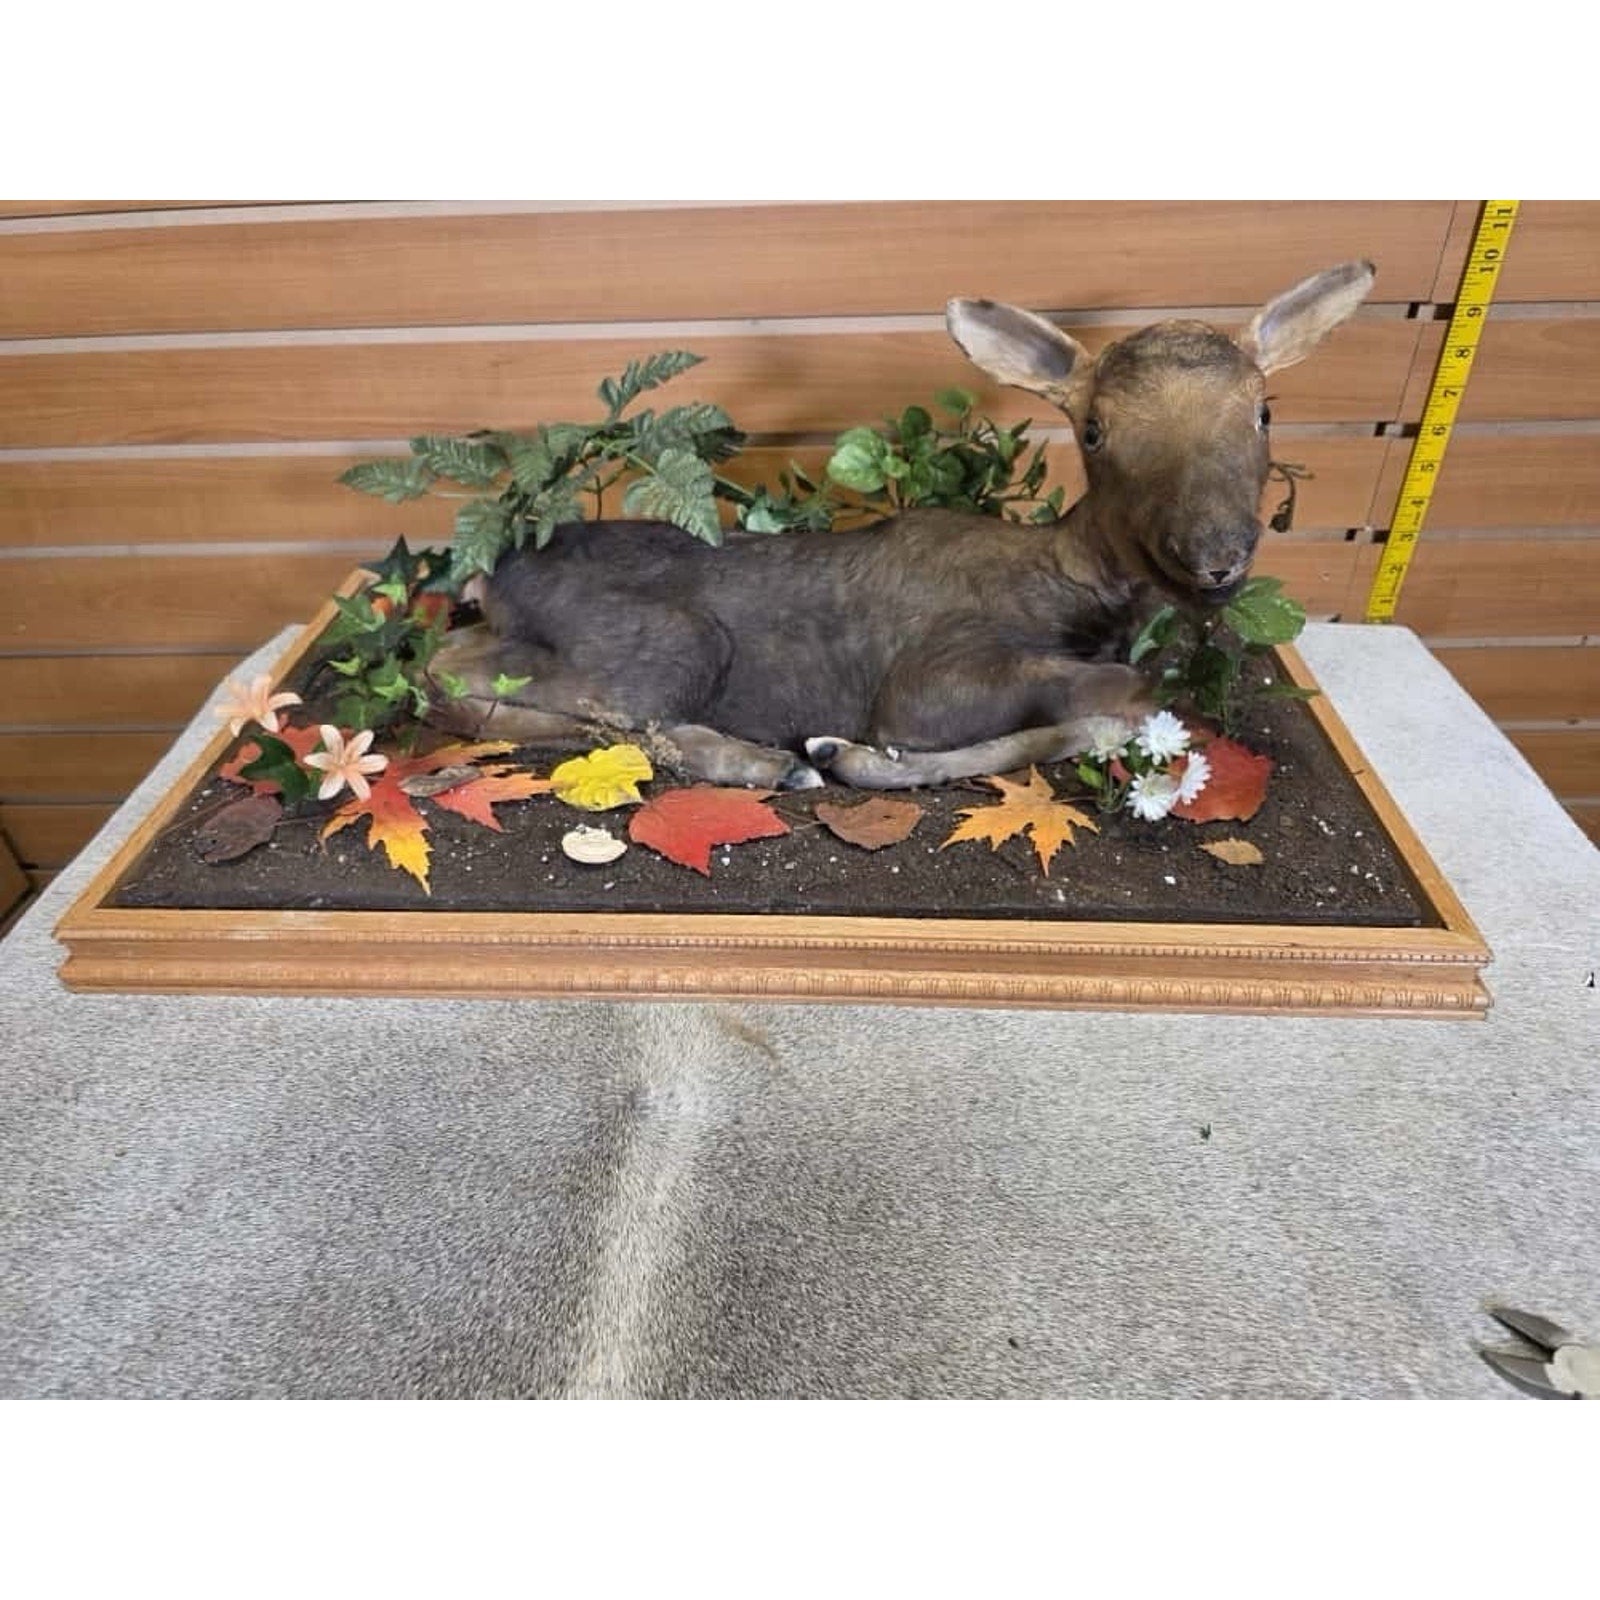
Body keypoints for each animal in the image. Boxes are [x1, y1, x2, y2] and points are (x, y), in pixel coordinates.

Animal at [426, 260, 1376, 790]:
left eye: (1264, 410)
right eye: (1095, 430)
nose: (1215, 556)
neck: (1083, 593)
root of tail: (487, 570)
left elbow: (1121, 706)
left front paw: (854, 757)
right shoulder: (929, 676)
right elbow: (1124, 694)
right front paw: (857, 754)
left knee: (455, 668)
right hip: (668, 648)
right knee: (509, 693)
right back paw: (765, 761)